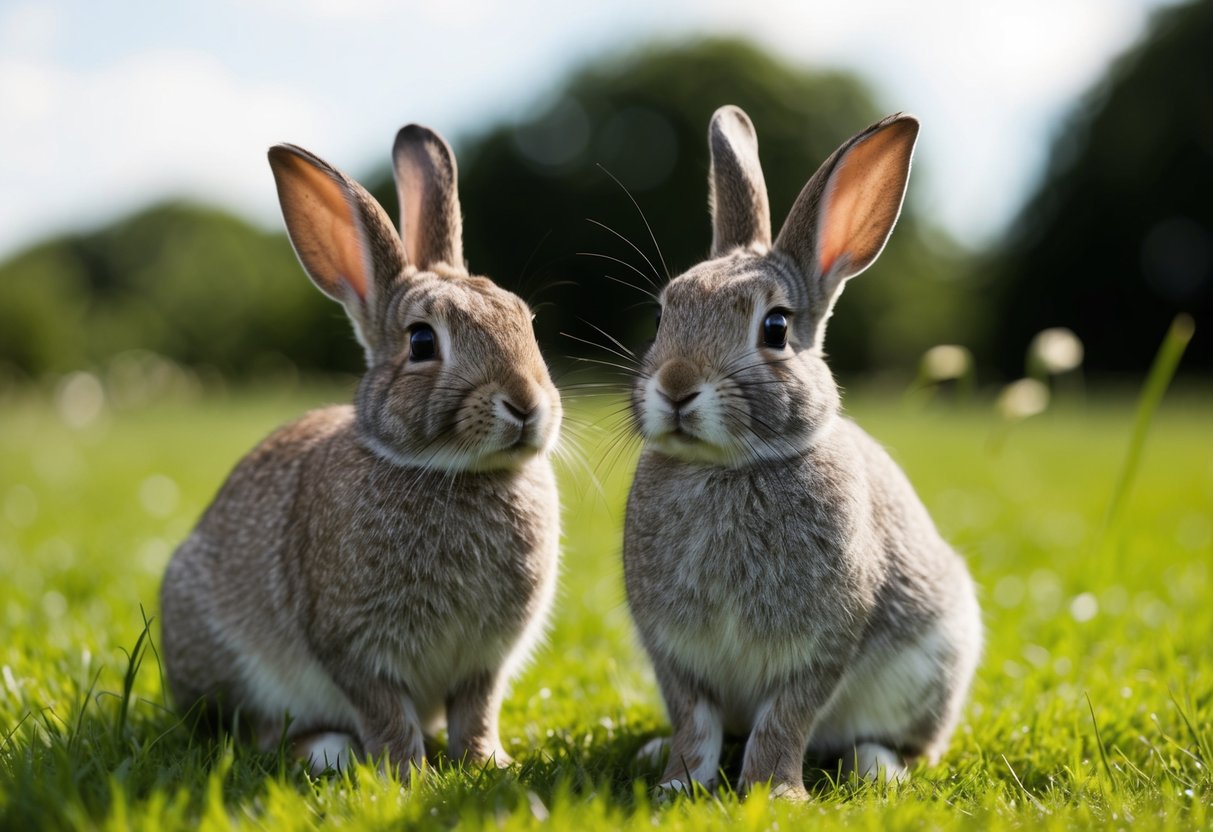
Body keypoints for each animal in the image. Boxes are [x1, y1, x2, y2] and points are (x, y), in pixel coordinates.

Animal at [159, 124, 562, 776]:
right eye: (421, 342)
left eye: (524, 321)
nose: (526, 403)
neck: (452, 471)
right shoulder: (354, 649)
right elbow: (385, 713)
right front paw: (408, 773)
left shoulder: (485, 661)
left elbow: (477, 713)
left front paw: (485, 764)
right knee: (251, 731)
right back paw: (326, 751)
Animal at [623, 106, 981, 800]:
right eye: (659, 317)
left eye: (776, 328)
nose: (676, 386)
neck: (731, 468)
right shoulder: (676, 658)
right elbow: (696, 725)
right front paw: (677, 786)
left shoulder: (819, 650)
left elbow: (784, 722)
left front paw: (773, 794)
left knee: (900, 743)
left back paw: (879, 769)